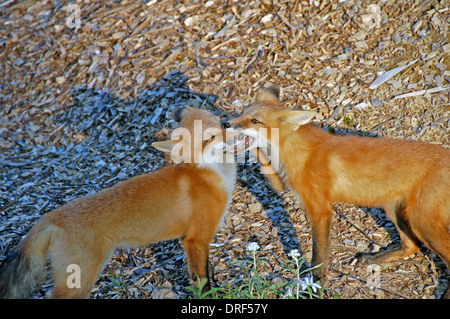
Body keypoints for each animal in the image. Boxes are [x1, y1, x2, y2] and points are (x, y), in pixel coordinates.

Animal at [224, 85, 450, 300]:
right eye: (242, 113)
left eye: (255, 121)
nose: (225, 123)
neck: (294, 152)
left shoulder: (320, 211)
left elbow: (319, 259)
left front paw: (314, 289)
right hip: (394, 209)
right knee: (412, 245)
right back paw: (373, 258)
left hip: (421, 221)